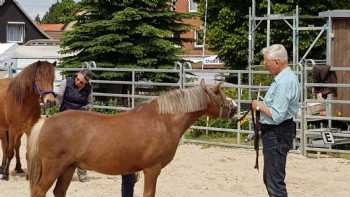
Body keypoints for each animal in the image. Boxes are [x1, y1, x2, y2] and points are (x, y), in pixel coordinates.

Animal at [28, 80, 237, 197]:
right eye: (220, 94)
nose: (235, 107)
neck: (163, 120)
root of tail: (47, 121)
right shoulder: (152, 170)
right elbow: (149, 194)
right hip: (54, 167)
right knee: (39, 191)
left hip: (68, 167)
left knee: (59, 192)